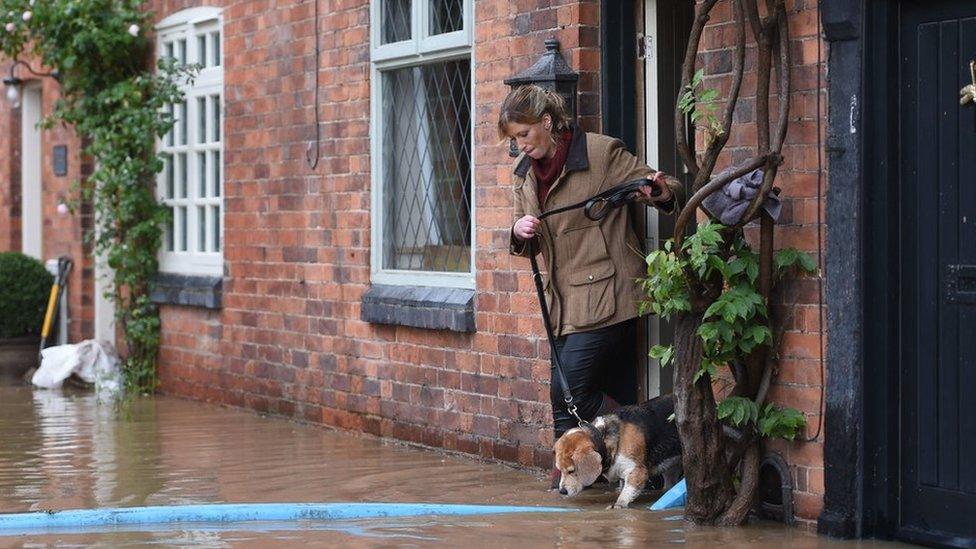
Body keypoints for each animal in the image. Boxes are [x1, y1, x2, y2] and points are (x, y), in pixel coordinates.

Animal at [552, 394, 684, 506]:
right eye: (559, 469)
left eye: (572, 471)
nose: (562, 491)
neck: (602, 437)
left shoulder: (637, 472)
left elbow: (624, 496)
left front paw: (617, 507)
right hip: (670, 469)